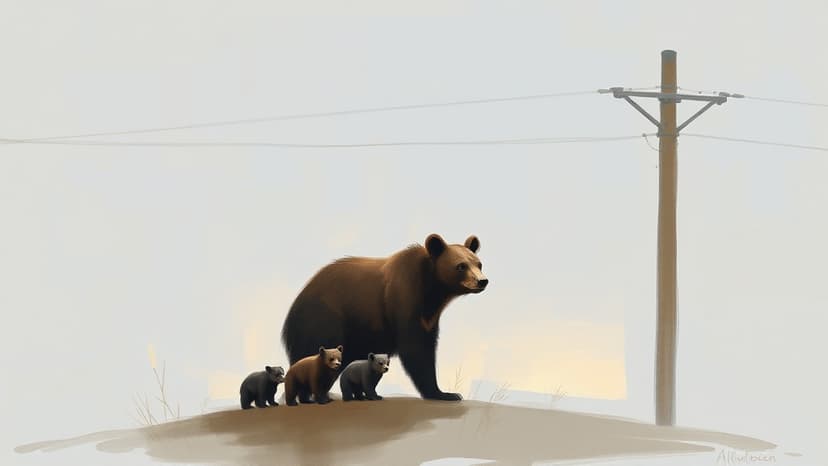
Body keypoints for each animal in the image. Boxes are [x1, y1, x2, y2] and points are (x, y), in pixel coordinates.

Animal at [281, 233, 488, 401]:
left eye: (479, 263)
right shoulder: (404, 299)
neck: (432, 292)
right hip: (324, 321)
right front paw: (444, 393)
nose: (482, 280)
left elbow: (427, 345)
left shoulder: (428, 317)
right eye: (461, 265)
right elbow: (416, 350)